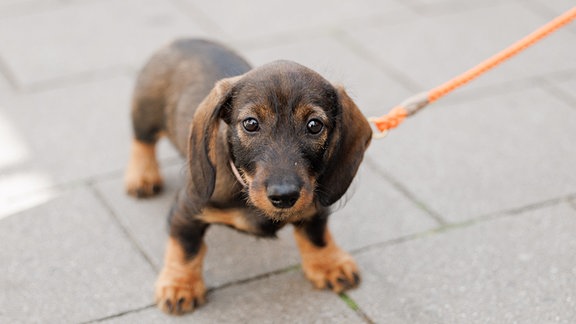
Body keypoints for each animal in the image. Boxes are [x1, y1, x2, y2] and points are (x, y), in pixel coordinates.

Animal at [124, 39, 372, 316]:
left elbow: (316, 234)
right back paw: (142, 175)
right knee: (142, 141)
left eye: (314, 125)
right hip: (146, 113)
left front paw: (329, 263)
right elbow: (186, 248)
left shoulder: (314, 203)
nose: (284, 196)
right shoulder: (186, 210)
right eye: (251, 123)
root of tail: (182, 41)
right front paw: (180, 285)